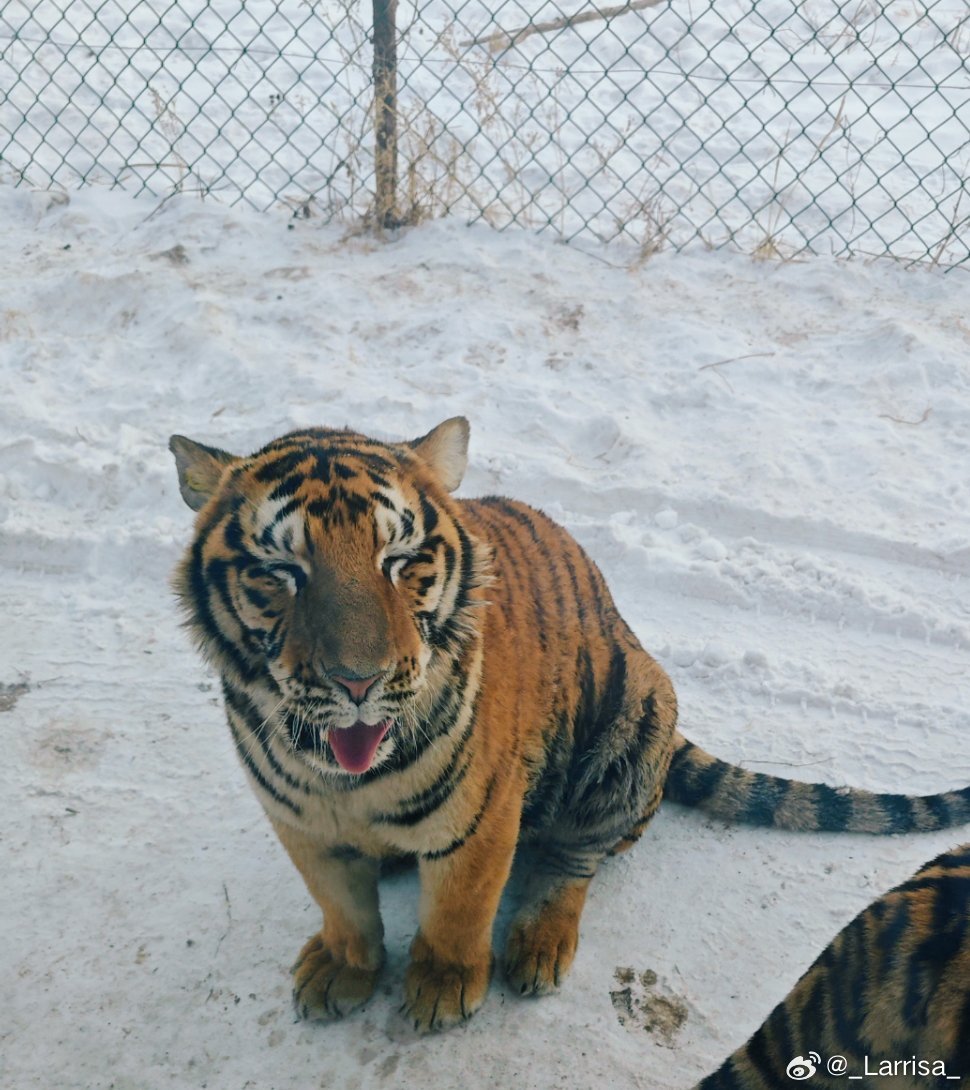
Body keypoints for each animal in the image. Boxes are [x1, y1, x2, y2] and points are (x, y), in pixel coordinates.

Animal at [167, 414, 967, 1028]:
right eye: (280, 571)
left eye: (400, 559)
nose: (357, 681)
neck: (344, 780)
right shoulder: (299, 822)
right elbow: (340, 902)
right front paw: (343, 967)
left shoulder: (482, 818)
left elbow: (459, 908)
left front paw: (442, 988)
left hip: (634, 715)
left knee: (576, 859)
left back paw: (539, 945)